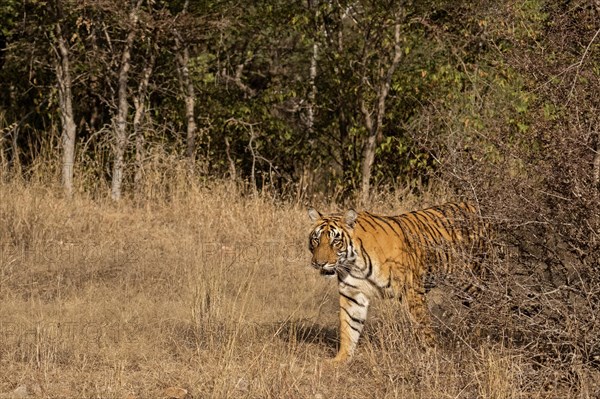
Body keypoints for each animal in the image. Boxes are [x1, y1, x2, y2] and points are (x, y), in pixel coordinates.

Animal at [308, 203, 486, 362]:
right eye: (316, 240)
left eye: (335, 242)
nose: (319, 263)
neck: (355, 263)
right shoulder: (352, 293)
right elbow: (349, 327)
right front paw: (341, 360)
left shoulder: (412, 291)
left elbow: (423, 326)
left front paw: (432, 355)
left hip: (469, 279)